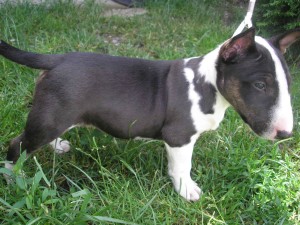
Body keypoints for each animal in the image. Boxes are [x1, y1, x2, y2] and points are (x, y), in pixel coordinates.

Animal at [1, 27, 300, 201]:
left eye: (287, 83)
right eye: (260, 85)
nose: (285, 134)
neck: (208, 84)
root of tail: (58, 59)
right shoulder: (179, 137)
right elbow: (182, 167)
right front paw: (187, 191)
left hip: (55, 114)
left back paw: (56, 146)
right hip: (51, 116)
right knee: (17, 145)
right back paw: (14, 179)